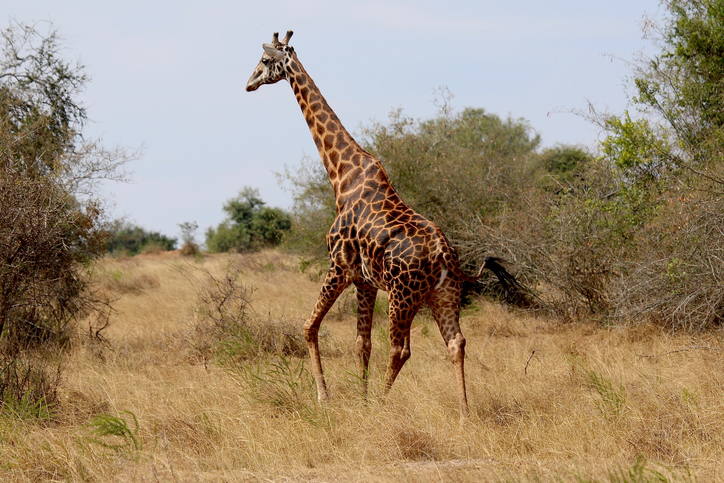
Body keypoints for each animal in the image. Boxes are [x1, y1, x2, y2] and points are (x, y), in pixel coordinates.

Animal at [245, 30, 520, 418]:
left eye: (265, 61)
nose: (249, 83)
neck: (342, 175)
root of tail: (445, 255)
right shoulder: (365, 281)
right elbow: (362, 342)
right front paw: (358, 399)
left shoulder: (340, 266)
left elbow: (310, 327)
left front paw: (327, 397)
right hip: (443, 294)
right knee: (456, 343)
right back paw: (464, 413)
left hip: (402, 295)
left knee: (400, 349)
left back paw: (381, 403)